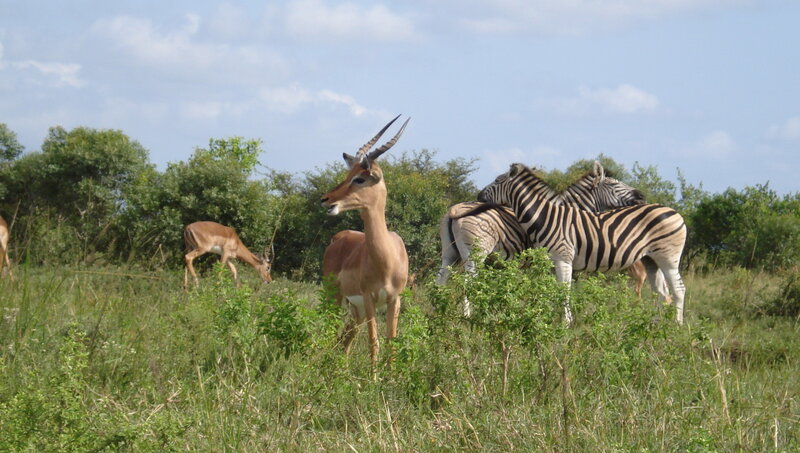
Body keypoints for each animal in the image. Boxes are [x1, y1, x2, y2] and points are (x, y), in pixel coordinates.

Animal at [476, 163, 687, 324]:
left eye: (497, 180)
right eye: (613, 183)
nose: (478, 195)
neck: (547, 216)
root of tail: (675, 212)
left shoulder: (563, 258)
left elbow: (564, 291)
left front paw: (564, 323)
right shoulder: (553, 263)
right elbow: (555, 291)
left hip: (667, 258)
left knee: (678, 290)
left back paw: (676, 327)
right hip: (652, 260)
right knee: (661, 293)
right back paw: (656, 326)